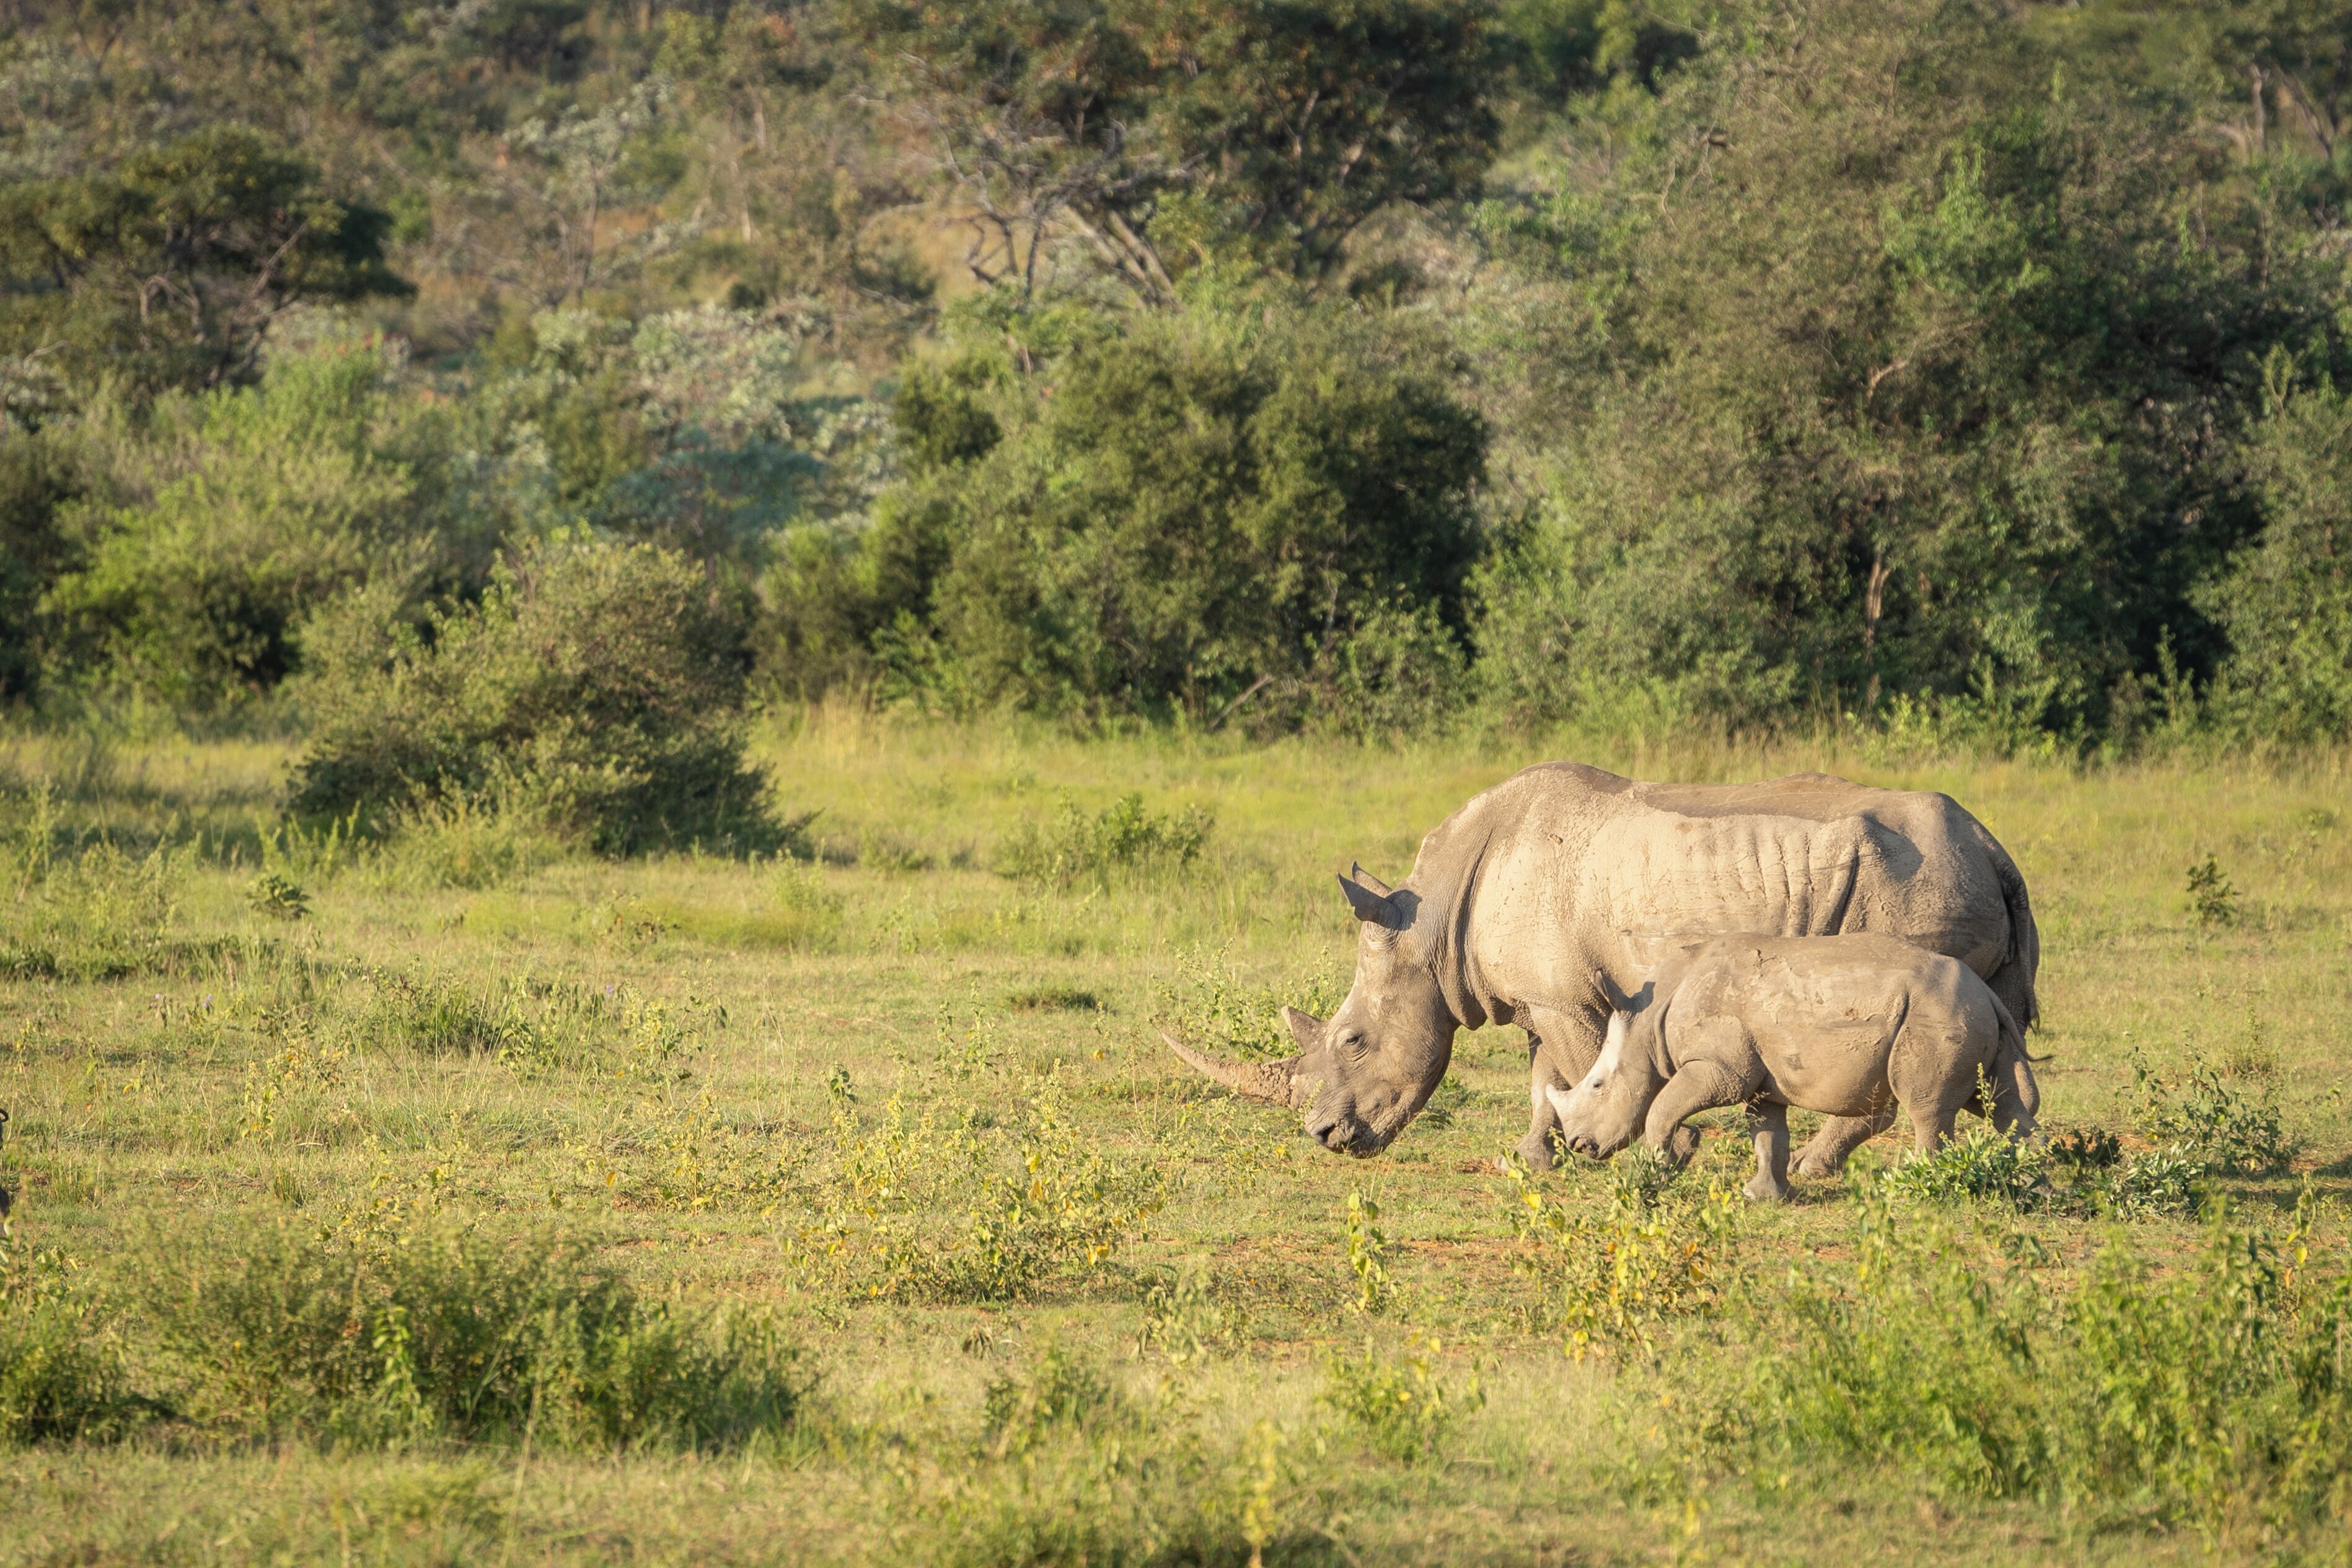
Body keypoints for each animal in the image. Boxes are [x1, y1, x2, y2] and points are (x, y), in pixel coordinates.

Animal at [1166, 762, 2038, 1173]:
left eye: (1351, 1040)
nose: (1323, 1137)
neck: (1433, 924)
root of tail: (1995, 846)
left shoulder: (1567, 996)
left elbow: (1587, 1066)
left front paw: (1638, 1152)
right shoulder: (1537, 994)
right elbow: (1540, 1075)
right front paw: (1531, 1157)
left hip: (1916, 886)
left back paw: (1816, 1168)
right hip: (1951, 878)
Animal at [1546, 933, 2040, 1201]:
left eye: (1597, 1085)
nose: (1578, 1145)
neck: (1647, 1023)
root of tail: (1983, 990)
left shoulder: (1719, 1067)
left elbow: (1662, 1108)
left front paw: (1653, 1173)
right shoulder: (1760, 1077)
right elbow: (1768, 1133)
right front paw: (1763, 1196)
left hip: (1936, 1012)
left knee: (1928, 1108)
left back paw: (1911, 1188)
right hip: (1966, 1011)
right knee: (2003, 1104)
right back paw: (2036, 1185)